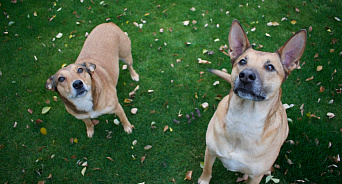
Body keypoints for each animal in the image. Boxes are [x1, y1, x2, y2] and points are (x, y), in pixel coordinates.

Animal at [198, 19, 308, 183]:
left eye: (270, 67)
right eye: (242, 61)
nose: (246, 76)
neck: (243, 119)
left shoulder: (255, 177)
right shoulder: (209, 151)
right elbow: (207, 169)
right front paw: (204, 179)